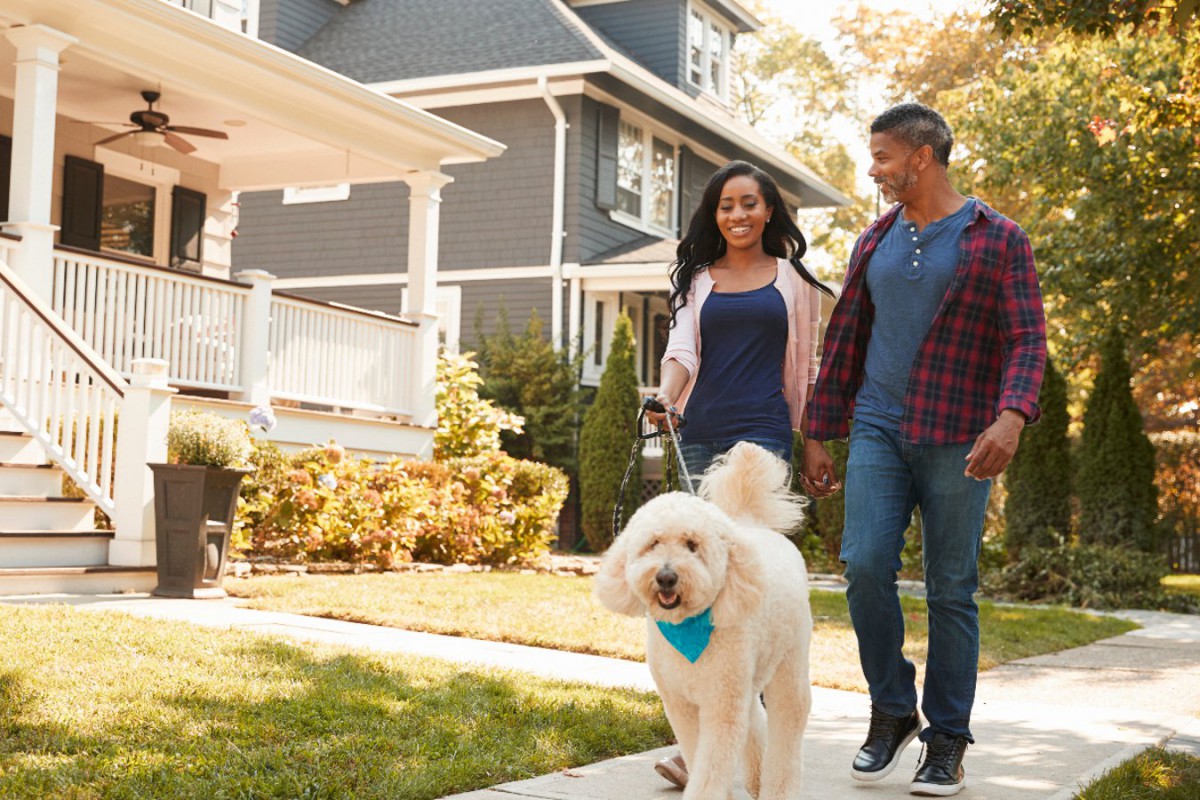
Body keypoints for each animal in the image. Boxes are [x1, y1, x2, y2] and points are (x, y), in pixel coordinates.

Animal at [592, 443, 811, 800]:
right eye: (653, 543)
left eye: (692, 545)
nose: (666, 577)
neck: (686, 627)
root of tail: (753, 525)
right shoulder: (681, 705)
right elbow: (697, 755)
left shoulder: (720, 706)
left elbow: (711, 767)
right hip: (747, 677)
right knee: (755, 716)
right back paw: (755, 777)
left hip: (789, 662)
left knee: (788, 720)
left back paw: (776, 787)